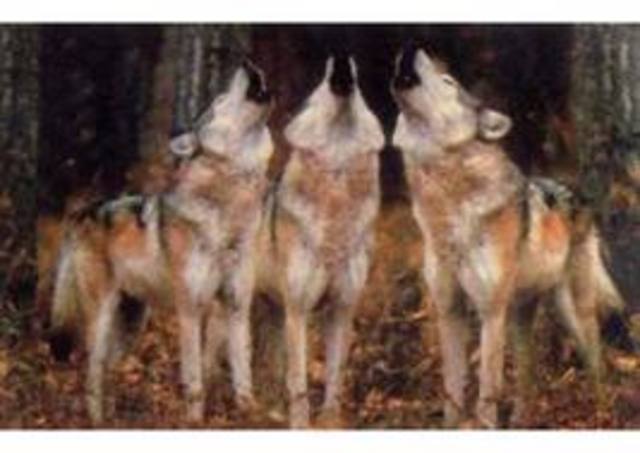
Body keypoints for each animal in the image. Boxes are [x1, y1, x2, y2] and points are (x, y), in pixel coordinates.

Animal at [48, 60, 274, 424]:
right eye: (220, 100)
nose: (248, 63)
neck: (226, 214)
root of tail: (81, 214)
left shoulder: (237, 307)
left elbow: (243, 374)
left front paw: (250, 415)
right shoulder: (190, 309)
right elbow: (195, 379)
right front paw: (194, 424)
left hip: (132, 323)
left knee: (107, 369)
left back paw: (115, 418)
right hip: (103, 316)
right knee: (90, 370)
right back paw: (96, 420)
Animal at [253, 54, 385, 428]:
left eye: (357, 75)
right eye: (318, 86)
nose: (340, 58)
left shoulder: (341, 309)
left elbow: (334, 378)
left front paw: (331, 423)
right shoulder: (298, 311)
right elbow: (298, 381)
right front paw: (300, 426)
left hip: (272, 313)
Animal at [391, 46, 625, 427]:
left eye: (448, 81)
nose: (411, 48)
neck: (450, 211)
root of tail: (579, 196)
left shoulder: (490, 313)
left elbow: (487, 389)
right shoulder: (449, 311)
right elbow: (452, 391)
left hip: (570, 314)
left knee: (597, 363)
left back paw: (603, 413)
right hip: (520, 317)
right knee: (528, 376)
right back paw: (521, 420)